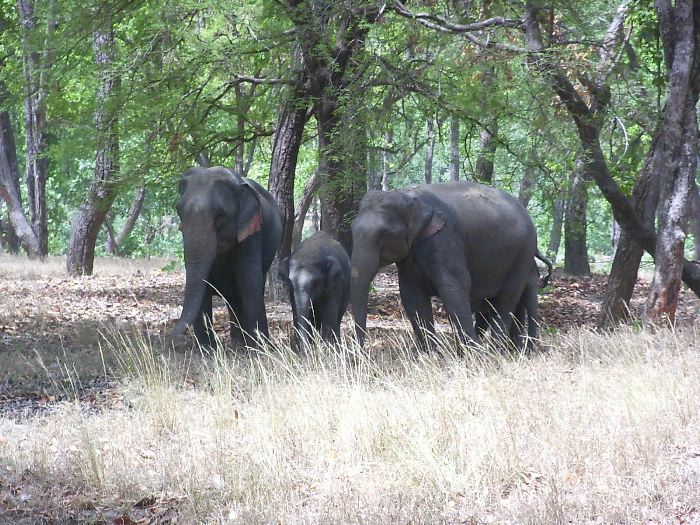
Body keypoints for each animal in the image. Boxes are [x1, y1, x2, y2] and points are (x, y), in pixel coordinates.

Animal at [170, 167, 282, 348]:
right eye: (179, 212)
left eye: (220, 215)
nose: (174, 341)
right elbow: (203, 286)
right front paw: (207, 349)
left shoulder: (251, 234)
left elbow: (249, 282)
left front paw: (260, 348)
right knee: (232, 298)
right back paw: (237, 342)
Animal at [352, 180, 540, 348]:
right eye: (352, 228)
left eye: (384, 233)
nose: (360, 351)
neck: (411, 196)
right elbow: (411, 295)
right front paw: (431, 354)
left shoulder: (446, 239)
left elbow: (455, 288)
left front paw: (473, 354)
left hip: (524, 255)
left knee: (506, 299)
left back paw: (496, 351)